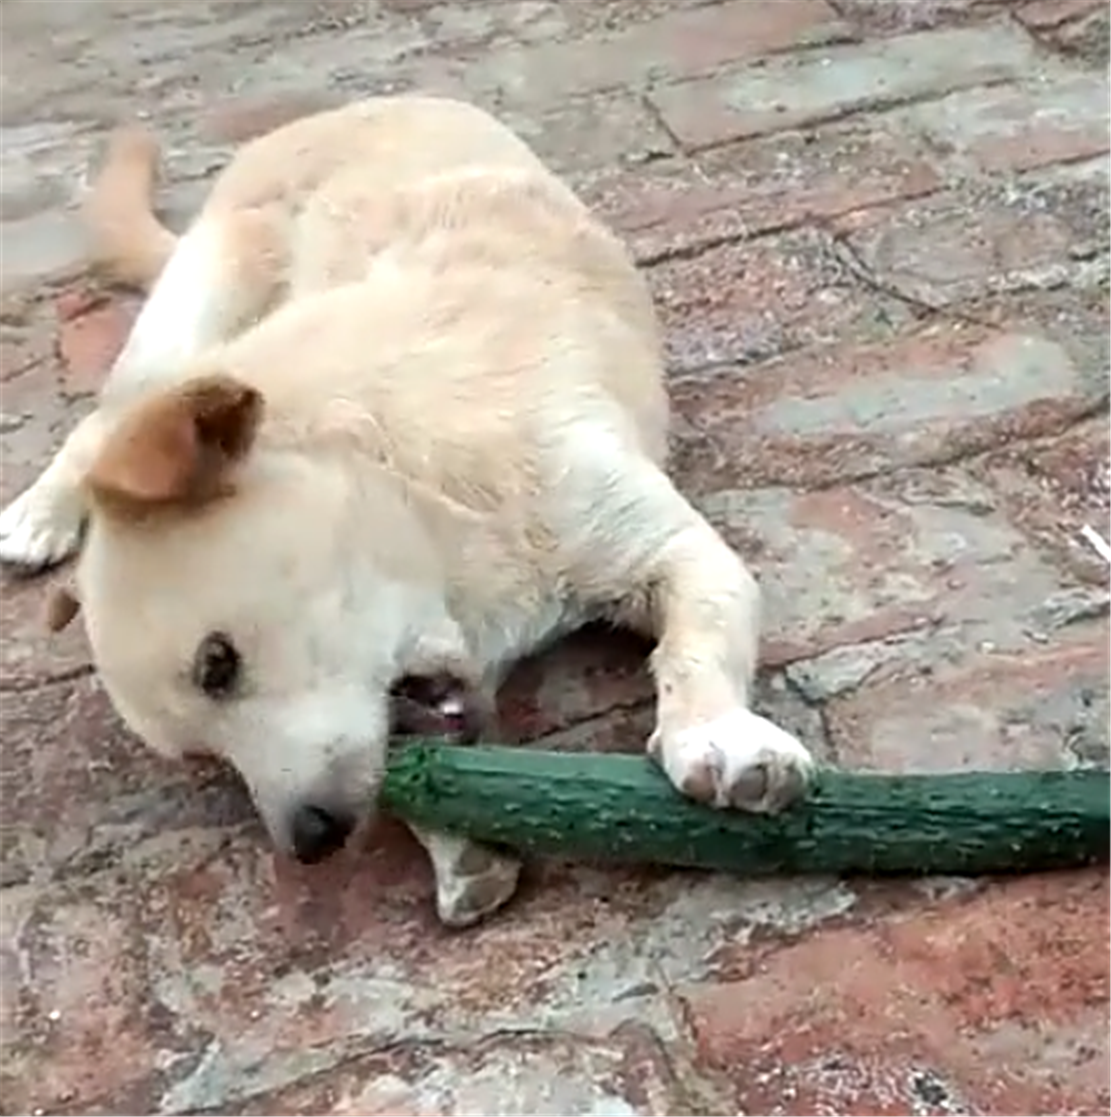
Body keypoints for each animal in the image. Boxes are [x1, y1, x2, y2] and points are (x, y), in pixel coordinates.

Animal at [0, 96, 817, 924]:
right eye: (206, 755)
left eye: (216, 664)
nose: (310, 841)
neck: (418, 489)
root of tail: (343, 109)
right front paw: (458, 849)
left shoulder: (667, 545)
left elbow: (697, 640)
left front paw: (716, 734)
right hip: (181, 336)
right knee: (95, 430)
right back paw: (39, 514)